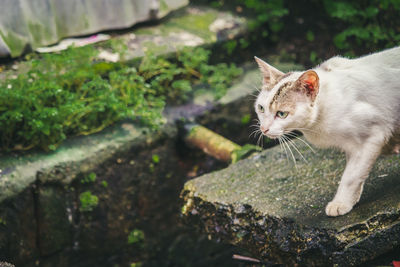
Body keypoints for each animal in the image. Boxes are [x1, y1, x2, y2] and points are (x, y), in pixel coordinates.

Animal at [253, 46, 400, 218]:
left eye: (282, 114)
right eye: (261, 108)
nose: (263, 129)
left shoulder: (373, 134)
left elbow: (351, 175)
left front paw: (340, 203)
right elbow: (356, 169)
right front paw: (352, 197)